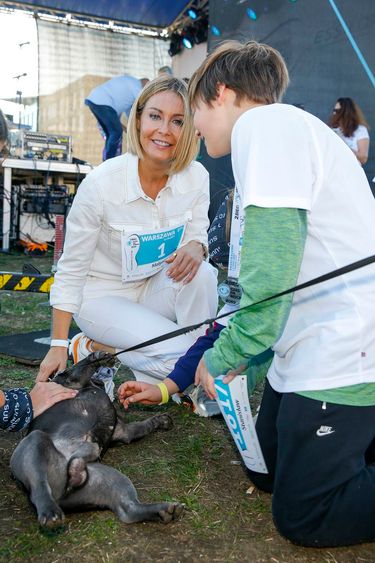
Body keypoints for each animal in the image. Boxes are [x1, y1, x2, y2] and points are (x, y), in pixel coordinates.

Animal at [9, 352, 184, 528]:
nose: (107, 370)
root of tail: (60, 498)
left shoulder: (123, 431)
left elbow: (143, 425)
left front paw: (161, 421)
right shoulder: (74, 377)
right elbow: (85, 364)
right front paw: (99, 355)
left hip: (112, 480)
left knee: (128, 510)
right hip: (35, 441)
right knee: (39, 485)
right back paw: (50, 511)